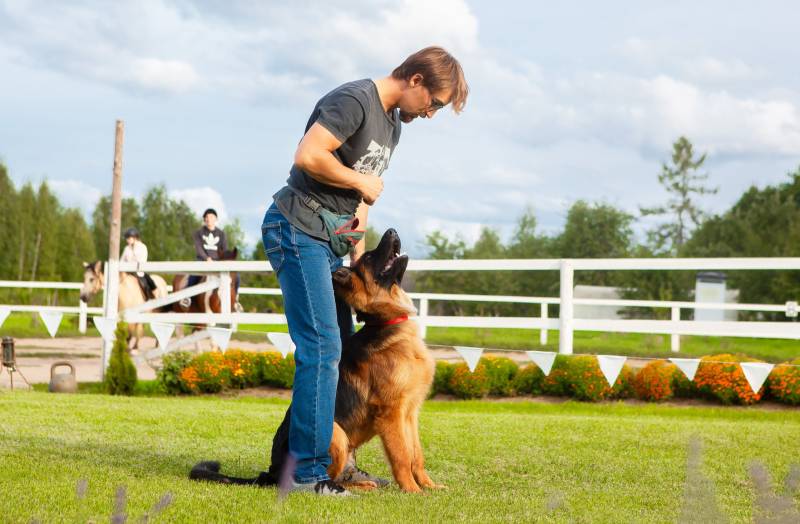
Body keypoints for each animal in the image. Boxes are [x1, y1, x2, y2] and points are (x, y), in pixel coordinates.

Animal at [192, 228, 444, 492]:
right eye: (368, 258)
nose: (392, 231)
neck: (385, 322)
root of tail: (270, 472)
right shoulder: (391, 413)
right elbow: (402, 456)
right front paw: (413, 490)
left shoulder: (410, 413)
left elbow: (417, 455)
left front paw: (429, 486)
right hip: (337, 435)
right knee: (323, 477)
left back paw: (363, 484)